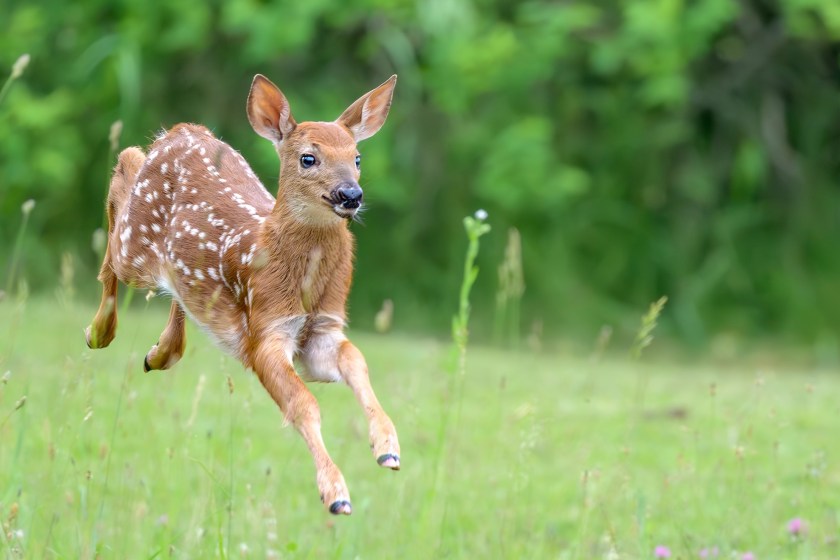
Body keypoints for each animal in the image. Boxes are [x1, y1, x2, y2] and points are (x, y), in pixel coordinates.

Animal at [84, 73, 401, 515]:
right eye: (308, 158)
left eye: (357, 158)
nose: (350, 195)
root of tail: (181, 130)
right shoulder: (264, 332)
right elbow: (303, 405)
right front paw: (336, 494)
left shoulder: (322, 330)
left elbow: (357, 362)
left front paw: (388, 447)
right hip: (135, 247)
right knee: (124, 180)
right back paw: (99, 331)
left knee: (179, 287)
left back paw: (160, 353)